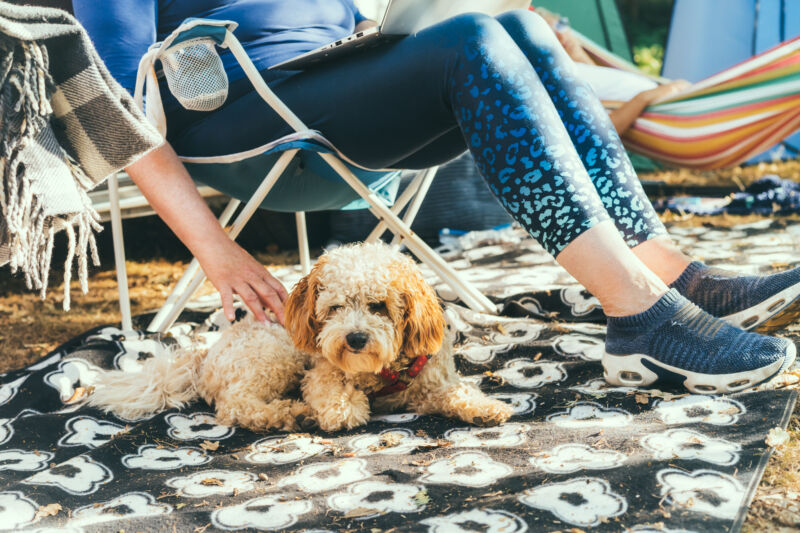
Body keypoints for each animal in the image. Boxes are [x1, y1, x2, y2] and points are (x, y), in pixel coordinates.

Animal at [87, 241, 512, 432]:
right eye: (335, 307)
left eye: (379, 306)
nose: (355, 339)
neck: (381, 373)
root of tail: (204, 355)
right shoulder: (320, 372)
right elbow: (336, 395)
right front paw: (343, 410)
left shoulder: (431, 382)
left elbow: (455, 392)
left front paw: (484, 406)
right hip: (276, 356)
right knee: (237, 406)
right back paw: (290, 414)